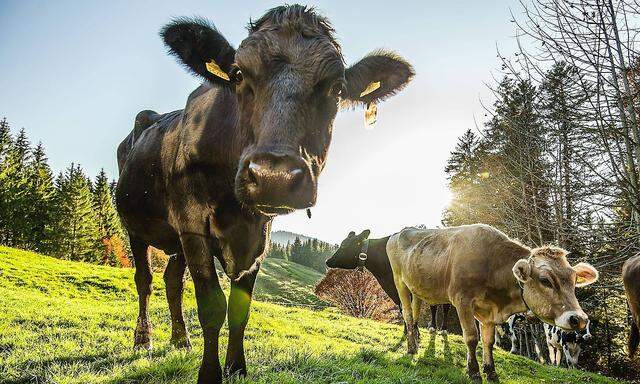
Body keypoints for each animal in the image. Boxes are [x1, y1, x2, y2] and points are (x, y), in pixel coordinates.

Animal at [115, 4, 416, 382]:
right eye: (238, 74)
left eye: (336, 88)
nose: (275, 176)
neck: (236, 210)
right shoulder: (193, 225)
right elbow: (212, 306)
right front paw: (211, 373)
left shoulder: (258, 239)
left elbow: (239, 309)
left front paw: (237, 368)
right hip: (136, 226)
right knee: (145, 279)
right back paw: (144, 340)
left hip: (175, 241)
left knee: (172, 281)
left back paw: (181, 339)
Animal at [322, 231, 452, 336]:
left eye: (344, 245)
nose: (327, 261)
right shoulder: (393, 289)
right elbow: (402, 308)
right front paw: (407, 331)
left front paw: (414, 333)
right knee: (434, 305)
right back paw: (433, 327)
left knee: (445, 307)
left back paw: (443, 329)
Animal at [384, 224, 600, 382]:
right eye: (545, 280)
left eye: (574, 280)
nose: (578, 319)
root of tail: (401, 231)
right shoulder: (462, 300)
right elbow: (472, 337)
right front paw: (473, 372)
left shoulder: (488, 311)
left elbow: (487, 341)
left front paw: (490, 372)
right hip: (399, 281)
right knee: (407, 313)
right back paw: (411, 348)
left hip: (416, 288)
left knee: (415, 312)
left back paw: (416, 341)